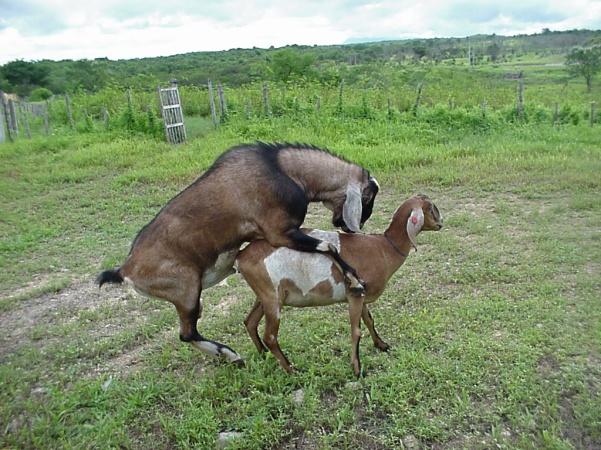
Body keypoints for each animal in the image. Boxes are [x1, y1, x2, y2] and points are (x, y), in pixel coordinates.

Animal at [97, 144, 380, 366]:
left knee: (188, 332)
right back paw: (231, 355)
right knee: (187, 333)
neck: (283, 170)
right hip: (187, 291)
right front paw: (354, 279)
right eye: (368, 198)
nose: (352, 226)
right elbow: (327, 246)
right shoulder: (280, 233)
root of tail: (125, 270)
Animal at [238, 193, 440, 376]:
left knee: (250, 322)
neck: (384, 248)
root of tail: (241, 256)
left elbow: (369, 320)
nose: (441, 223)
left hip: (266, 295)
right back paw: (291, 369)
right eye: (431, 208)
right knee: (270, 336)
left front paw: (381, 345)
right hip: (271, 297)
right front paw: (357, 369)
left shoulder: (362, 294)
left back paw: (264, 355)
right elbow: (356, 331)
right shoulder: (354, 295)